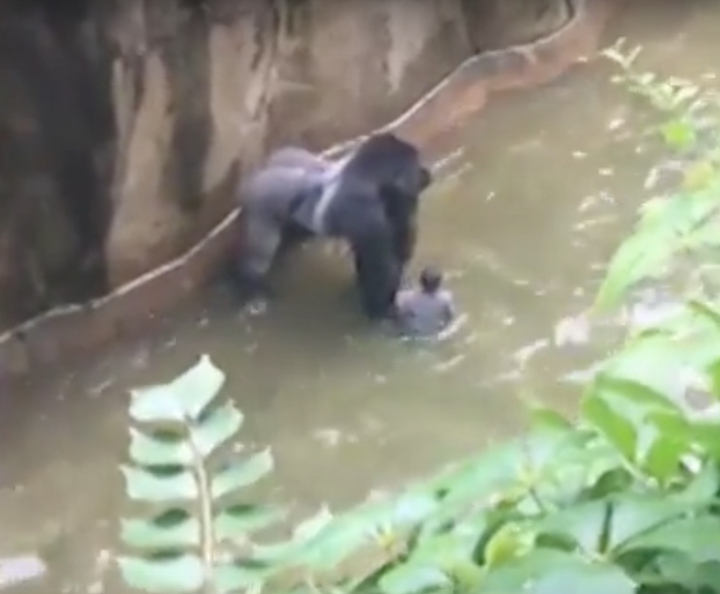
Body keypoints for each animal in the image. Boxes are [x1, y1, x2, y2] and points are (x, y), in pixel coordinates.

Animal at [233, 131, 430, 320]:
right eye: (414, 165)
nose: (425, 173)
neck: (367, 176)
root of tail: (256, 175)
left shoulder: (397, 201)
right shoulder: (365, 211)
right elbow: (379, 267)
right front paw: (380, 310)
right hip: (259, 201)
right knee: (260, 254)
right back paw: (252, 288)